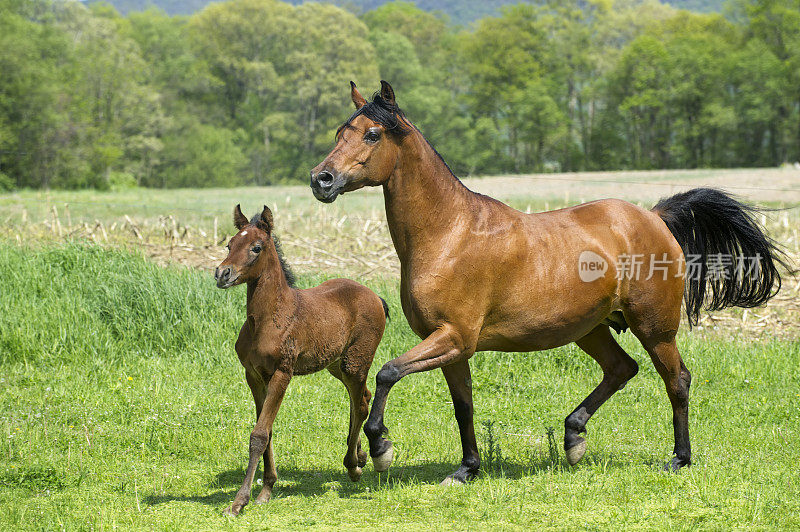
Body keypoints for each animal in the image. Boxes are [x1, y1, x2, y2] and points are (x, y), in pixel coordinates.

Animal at [212, 205, 388, 516]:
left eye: (256, 247)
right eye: (229, 245)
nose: (222, 273)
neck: (269, 318)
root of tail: (374, 295)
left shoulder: (283, 373)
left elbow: (259, 434)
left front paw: (239, 502)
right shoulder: (253, 376)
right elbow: (267, 430)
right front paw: (266, 489)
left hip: (356, 361)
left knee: (361, 404)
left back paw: (353, 466)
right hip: (336, 365)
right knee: (361, 398)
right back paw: (360, 455)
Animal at [310, 81, 792, 484]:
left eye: (372, 134)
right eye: (339, 132)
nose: (321, 180)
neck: (450, 233)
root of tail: (654, 218)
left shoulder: (453, 337)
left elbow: (388, 372)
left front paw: (381, 446)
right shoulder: (451, 346)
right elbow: (463, 407)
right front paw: (466, 470)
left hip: (654, 328)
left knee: (677, 381)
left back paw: (678, 458)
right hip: (590, 328)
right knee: (622, 369)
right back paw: (573, 438)